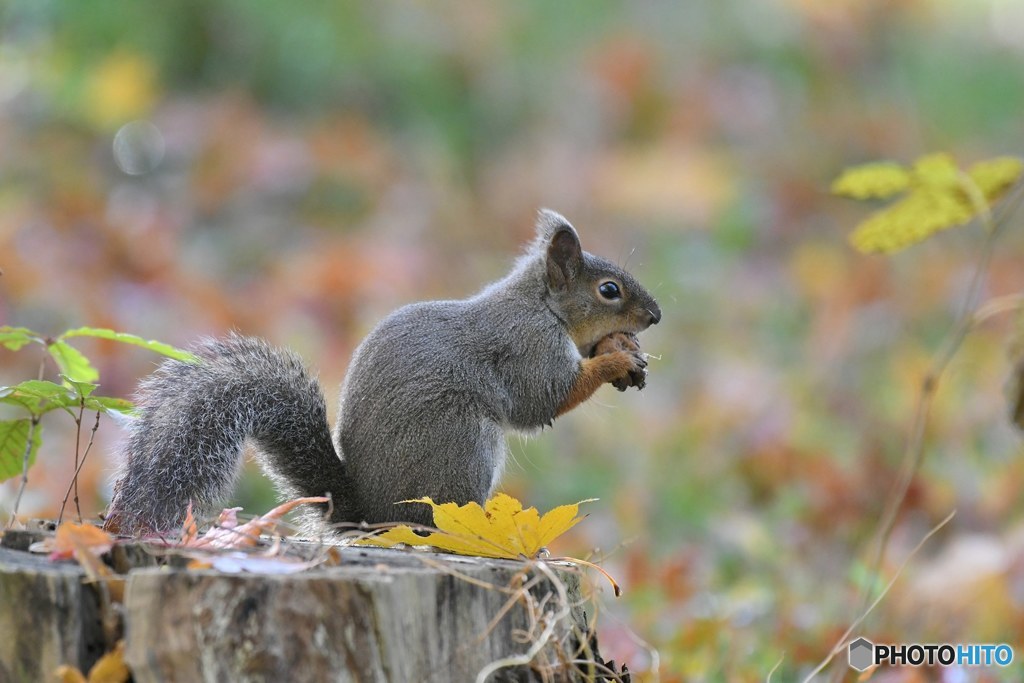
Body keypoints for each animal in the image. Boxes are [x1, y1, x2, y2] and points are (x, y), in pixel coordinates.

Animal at [105, 210, 663, 536]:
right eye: (609, 291)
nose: (655, 317)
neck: (541, 304)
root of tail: (370, 512)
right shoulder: (527, 346)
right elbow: (541, 402)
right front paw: (613, 358)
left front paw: (624, 349)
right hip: (463, 446)